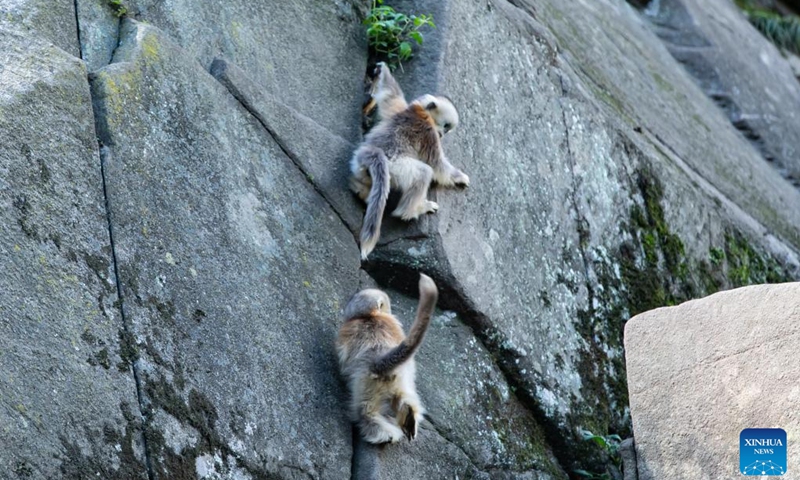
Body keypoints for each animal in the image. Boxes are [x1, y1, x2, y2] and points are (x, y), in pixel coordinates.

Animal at [336, 274, 438, 442]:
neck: (369, 316)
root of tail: (378, 362)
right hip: (402, 379)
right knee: (403, 398)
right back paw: (409, 418)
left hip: (365, 383)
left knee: (364, 410)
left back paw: (383, 432)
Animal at [352, 63, 468, 260]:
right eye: (445, 126)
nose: (443, 134)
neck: (419, 111)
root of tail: (372, 155)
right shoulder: (429, 132)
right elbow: (437, 166)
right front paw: (459, 177)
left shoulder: (399, 107)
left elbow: (390, 93)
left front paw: (381, 68)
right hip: (396, 169)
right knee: (424, 172)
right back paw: (411, 211)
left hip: (359, 167)